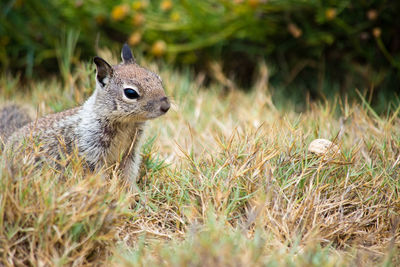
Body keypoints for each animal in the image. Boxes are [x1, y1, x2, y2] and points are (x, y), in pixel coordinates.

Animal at [0, 44, 170, 185]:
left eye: (159, 80)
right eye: (130, 93)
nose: (166, 106)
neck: (126, 124)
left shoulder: (131, 153)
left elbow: (128, 174)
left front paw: (132, 195)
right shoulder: (91, 152)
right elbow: (98, 176)